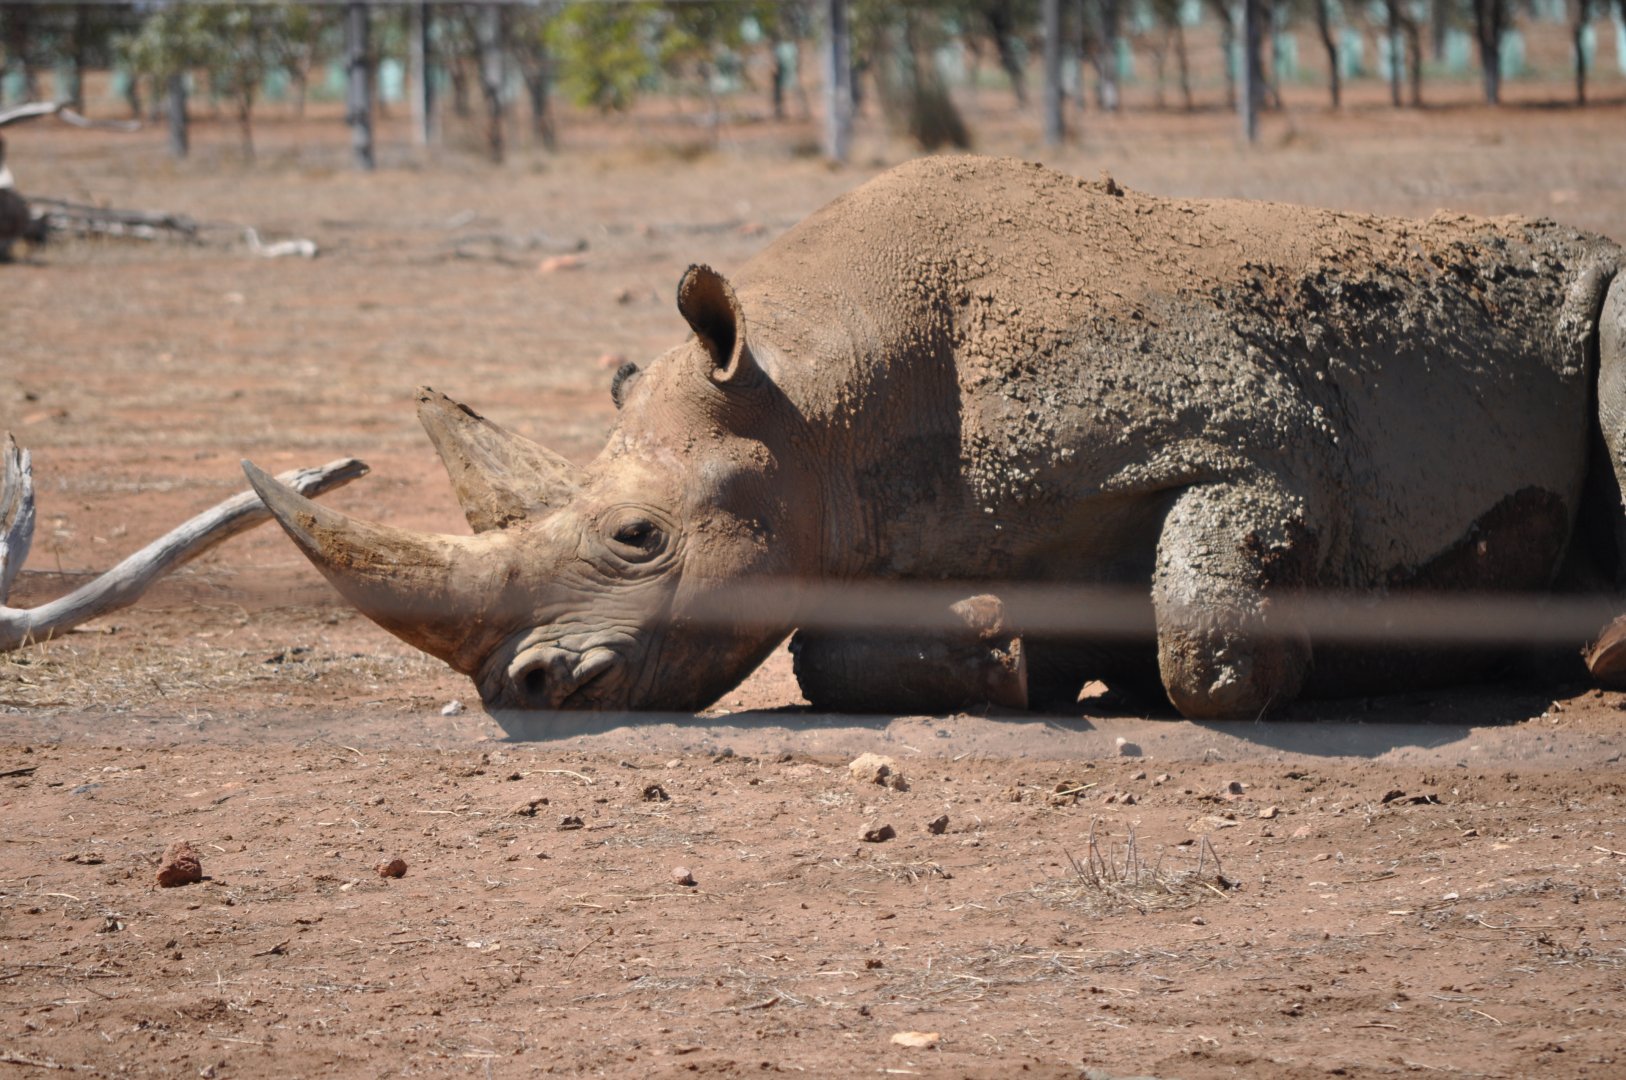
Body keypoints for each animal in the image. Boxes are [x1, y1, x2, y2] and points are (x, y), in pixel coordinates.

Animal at [245, 155, 1626, 721]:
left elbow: (1207, 625)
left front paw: (1268, 670)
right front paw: (1011, 652)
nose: (518, 693)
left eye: (638, 537)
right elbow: (826, 656)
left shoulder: (1265, 442)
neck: (820, 395)